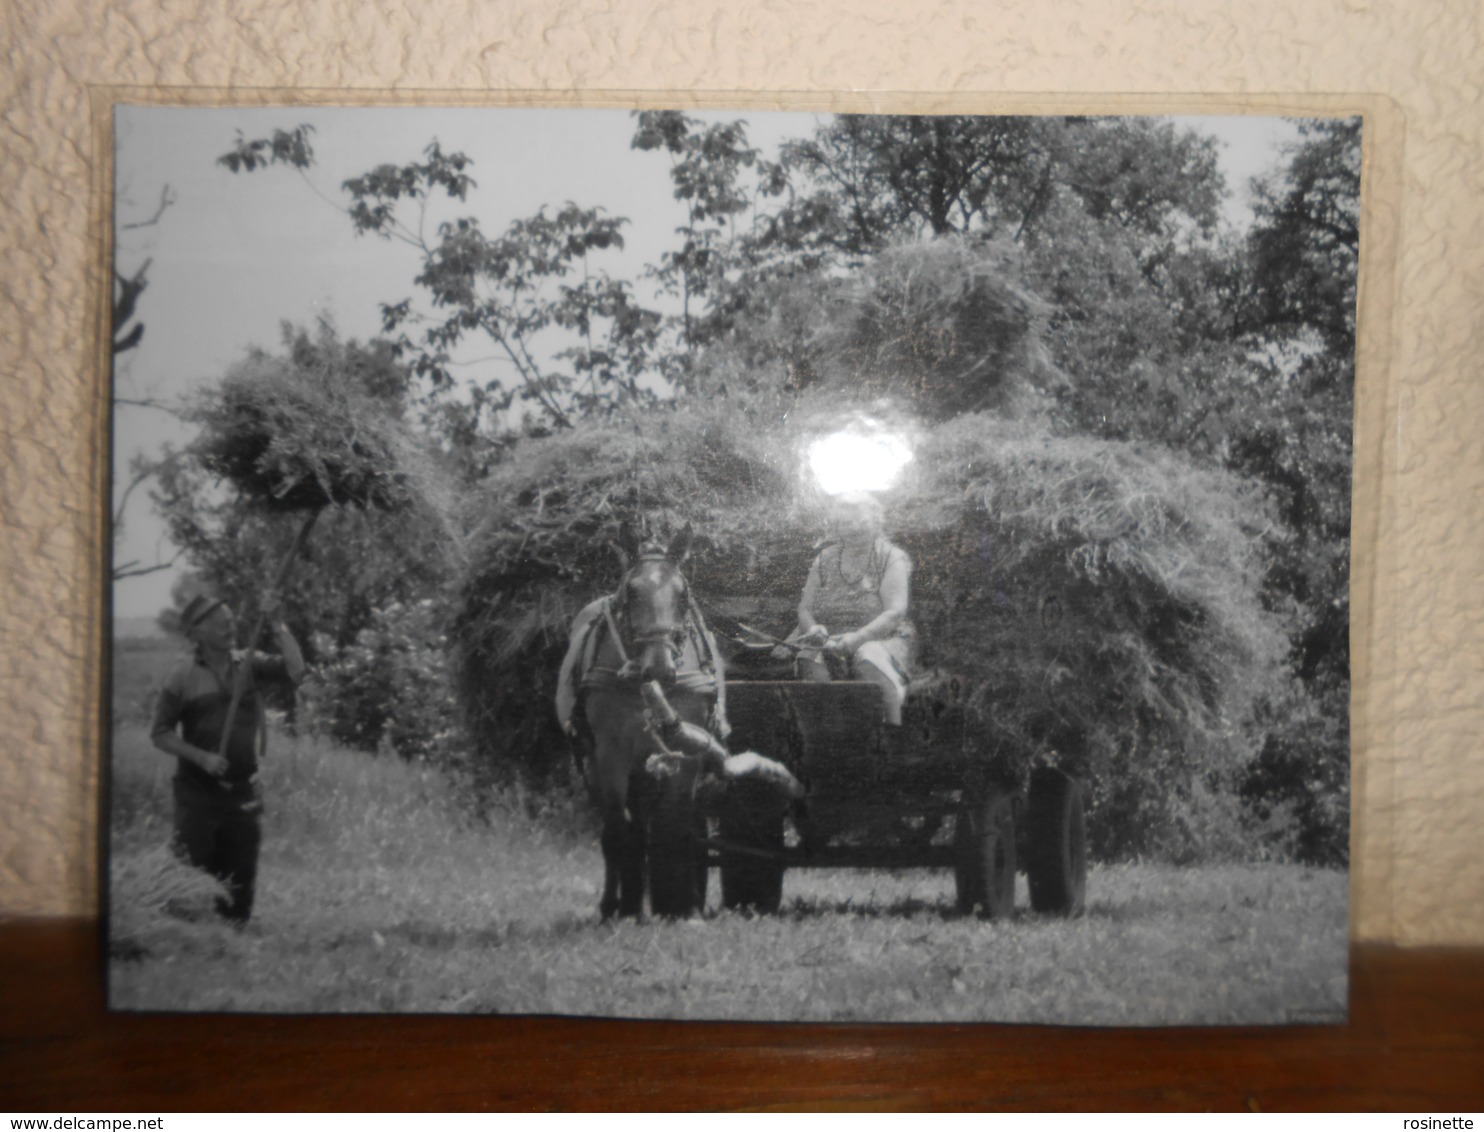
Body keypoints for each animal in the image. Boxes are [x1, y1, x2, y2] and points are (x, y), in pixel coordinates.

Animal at [557, 522, 724, 919]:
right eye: (631, 593)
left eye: (683, 595)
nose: (659, 667)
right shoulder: (611, 752)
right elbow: (619, 828)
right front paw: (625, 905)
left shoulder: (688, 750)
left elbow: (678, 824)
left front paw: (685, 906)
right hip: (600, 761)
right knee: (619, 827)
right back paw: (620, 902)